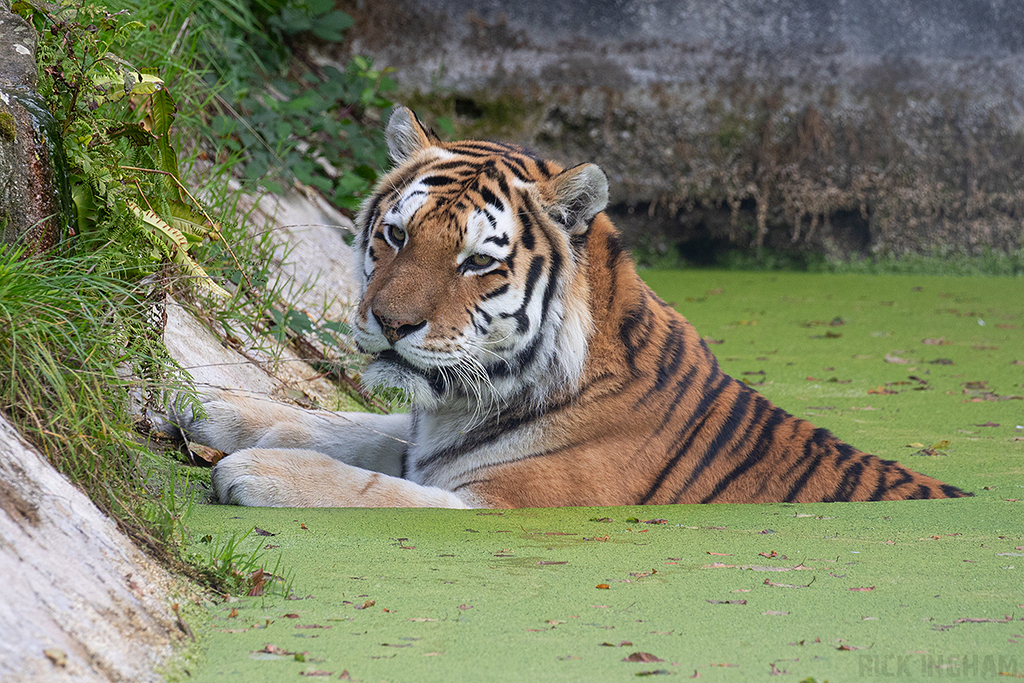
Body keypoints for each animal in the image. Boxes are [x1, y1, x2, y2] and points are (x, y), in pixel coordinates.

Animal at [170, 107, 970, 508]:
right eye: (396, 235)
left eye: (478, 262)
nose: (390, 324)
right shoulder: (422, 434)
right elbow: (340, 422)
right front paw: (203, 398)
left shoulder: (496, 508)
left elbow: (370, 486)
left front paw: (258, 472)